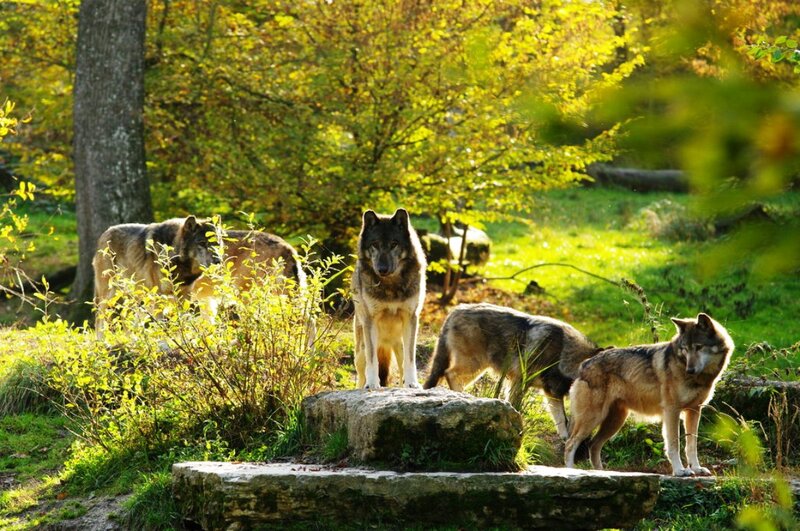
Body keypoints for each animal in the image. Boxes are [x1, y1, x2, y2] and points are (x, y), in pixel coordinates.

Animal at [352, 208, 426, 389]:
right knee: (362, 374)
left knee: (401, 368)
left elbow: (410, 360)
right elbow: (373, 361)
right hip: (361, 351)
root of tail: (385, 342)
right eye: (375, 244)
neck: (391, 285)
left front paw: (412, 384)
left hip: (399, 344)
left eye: (394, 244)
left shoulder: (411, 318)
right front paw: (372, 385)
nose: (382, 269)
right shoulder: (370, 321)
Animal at [423, 303, 603, 439]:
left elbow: (561, 418)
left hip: (477, 370)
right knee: (449, 373)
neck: (563, 353)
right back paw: (463, 396)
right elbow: (518, 405)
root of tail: (455, 310)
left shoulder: (549, 392)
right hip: (473, 365)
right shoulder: (525, 383)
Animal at [564, 313, 735, 476]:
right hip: (593, 418)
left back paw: (601, 473)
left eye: (699, 347)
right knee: (570, 444)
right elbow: (674, 445)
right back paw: (572, 471)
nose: (690, 370)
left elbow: (691, 445)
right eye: (685, 349)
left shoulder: (694, 411)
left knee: (593, 445)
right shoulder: (672, 411)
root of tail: (584, 364)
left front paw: (697, 468)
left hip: (615, 421)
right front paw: (680, 471)